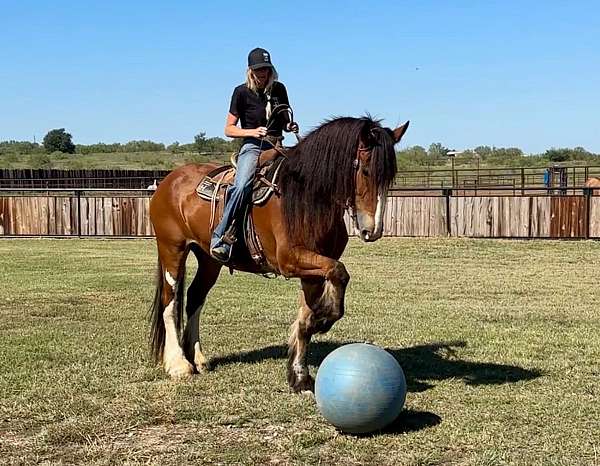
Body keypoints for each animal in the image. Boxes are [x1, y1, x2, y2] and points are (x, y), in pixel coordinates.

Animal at [148, 114, 410, 392]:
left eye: (390, 177)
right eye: (366, 170)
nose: (374, 229)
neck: (305, 198)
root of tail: (169, 181)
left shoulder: (312, 271)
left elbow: (307, 316)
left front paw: (300, 376)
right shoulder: (290, 261)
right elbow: (339, 272)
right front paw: (324, 320)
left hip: (209, 259)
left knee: (195, 296)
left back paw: (197, 358)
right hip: (172, 249)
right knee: (170, 300)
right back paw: (179, 364)